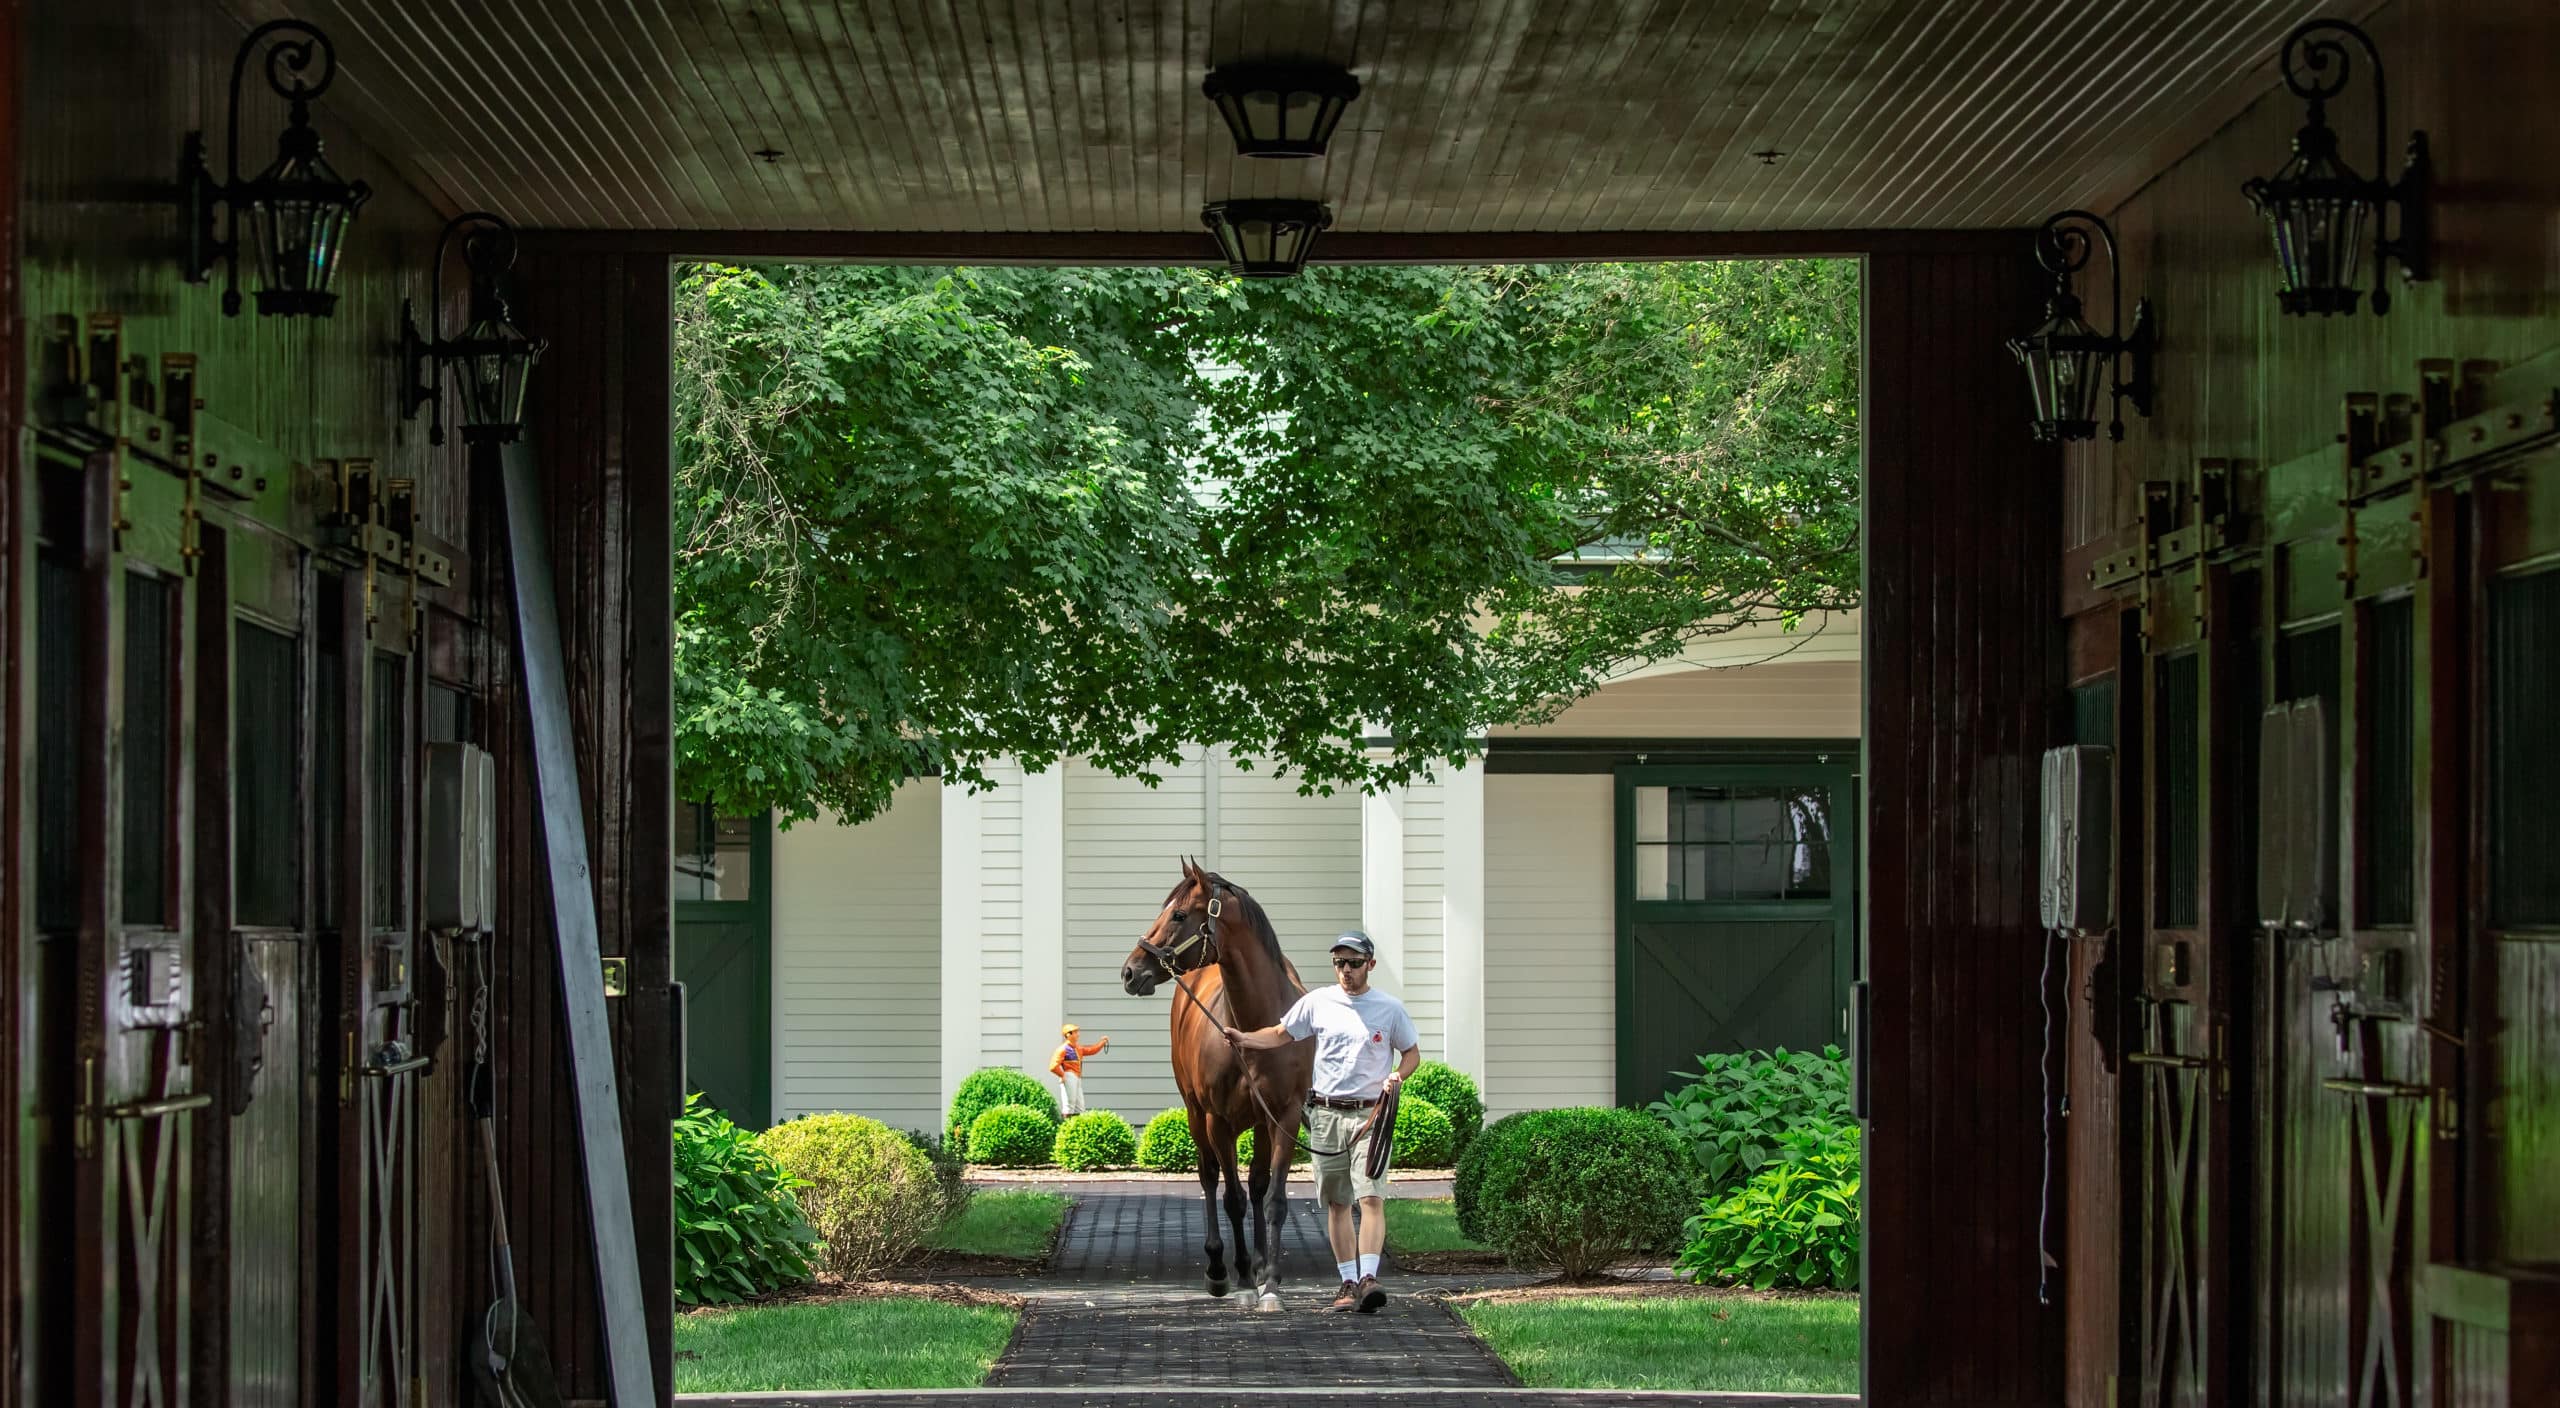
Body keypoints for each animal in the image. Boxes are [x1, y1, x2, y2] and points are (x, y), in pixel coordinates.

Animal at [1121, 860, 1310, 1310]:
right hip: (1195, 1113)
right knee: (1210, 1178)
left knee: (1257, 1186)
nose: (1130, 971)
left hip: (1257, 1123)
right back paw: (1221, 1268)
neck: (1255, 1029)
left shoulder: (1284, 1117)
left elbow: (1273, 1199)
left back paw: (1257, 1264)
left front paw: (1269, 1281)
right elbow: (1231, 1198)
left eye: (1177, 915)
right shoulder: (1218, 1120)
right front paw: (1240, 1279)